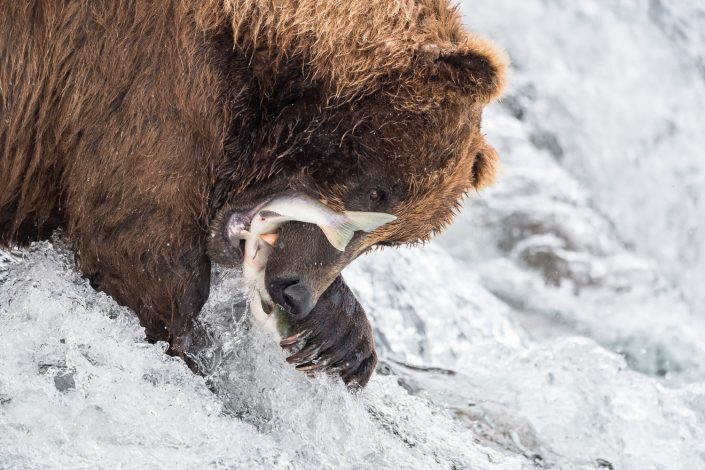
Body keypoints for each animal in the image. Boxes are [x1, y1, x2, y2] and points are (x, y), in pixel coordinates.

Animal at [0, 1, 506, 388]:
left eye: (389, 241)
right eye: (379, 191)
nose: (297, 293)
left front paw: (341, 341)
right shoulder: (151, 79)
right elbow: (138, 246)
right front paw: (190, 358)